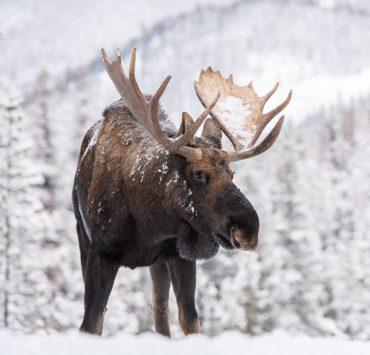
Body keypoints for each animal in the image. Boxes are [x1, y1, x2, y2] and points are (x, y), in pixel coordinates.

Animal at [72, 47, 292, 336]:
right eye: (198, 173)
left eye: (232, 174)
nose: (249, 230)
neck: (149, 223)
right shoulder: (100, 253)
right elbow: (91, 323)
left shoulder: (179, 256)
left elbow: (190, 320)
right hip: (82, 234)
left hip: (158, 263)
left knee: (160, 313)